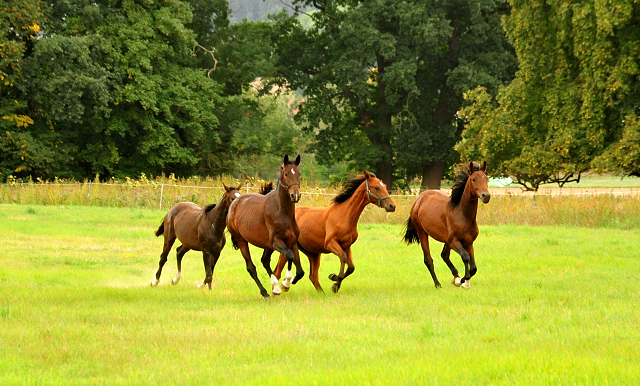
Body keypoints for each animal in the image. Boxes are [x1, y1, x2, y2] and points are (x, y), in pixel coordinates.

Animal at [225, 155, 304, 298]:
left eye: (299, 173)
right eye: (286, 173)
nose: (295, 196)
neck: (283, 212)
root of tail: (234, 203)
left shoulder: (292, 241)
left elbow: (300, 271)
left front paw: (286, 284)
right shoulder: (276, 241)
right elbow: (289, 255)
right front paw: (286, 283)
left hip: (267, 245)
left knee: (265, 260)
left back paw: (275, 288)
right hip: (242, 241)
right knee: (251, 267)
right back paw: (265, 292)